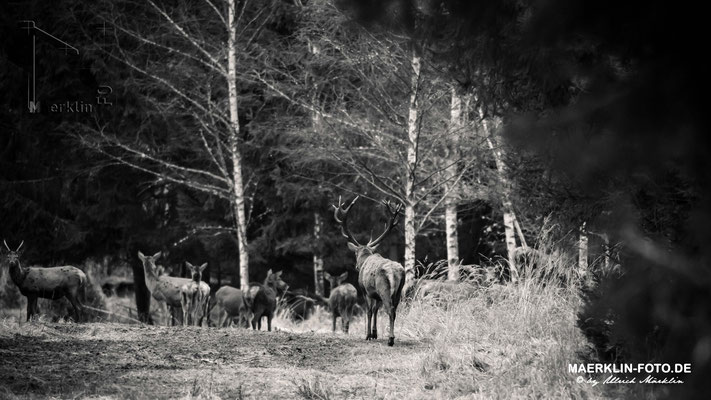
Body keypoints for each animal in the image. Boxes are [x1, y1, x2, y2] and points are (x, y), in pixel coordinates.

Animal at [334, 195, 406, 346]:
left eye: (355, 253)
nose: (356, 266)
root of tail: (393, 272)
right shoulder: (376, 295)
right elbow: (375, 310)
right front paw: (374, 333)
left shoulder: (365, 290)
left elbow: (369, 311)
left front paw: (368, 335)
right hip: (398, 290)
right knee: (395, 310)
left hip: (383, 288)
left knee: (390, 309)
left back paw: (391, 339)